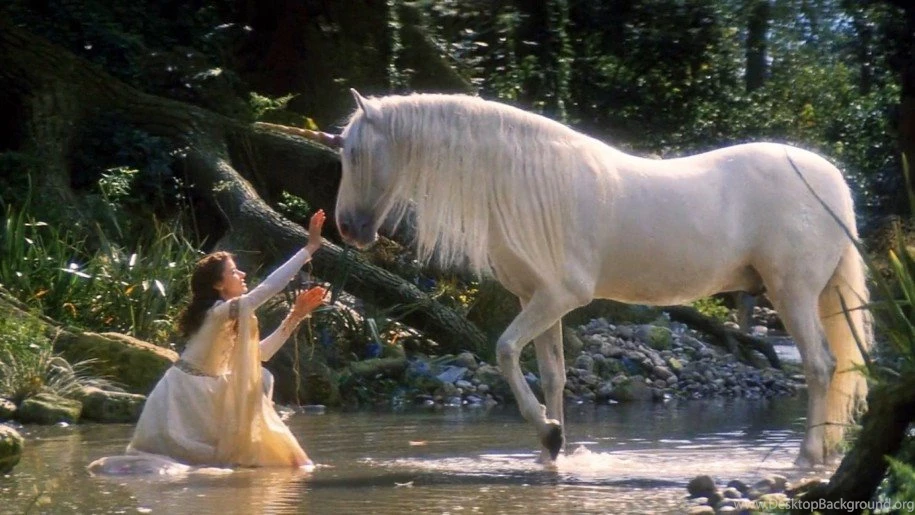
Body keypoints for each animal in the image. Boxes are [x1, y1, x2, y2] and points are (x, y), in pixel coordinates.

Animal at [259, 89, 871, 467]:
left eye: (358, 154)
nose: (349, 228)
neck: (522, 182)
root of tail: (831, 180)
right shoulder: (539, 300)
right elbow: (552, 374)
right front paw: (552, 448)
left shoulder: (557, 297)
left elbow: (505, 351)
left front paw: (548, 433)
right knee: (830, 366)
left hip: (792, 293)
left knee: (819, 367)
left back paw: (807, 457)